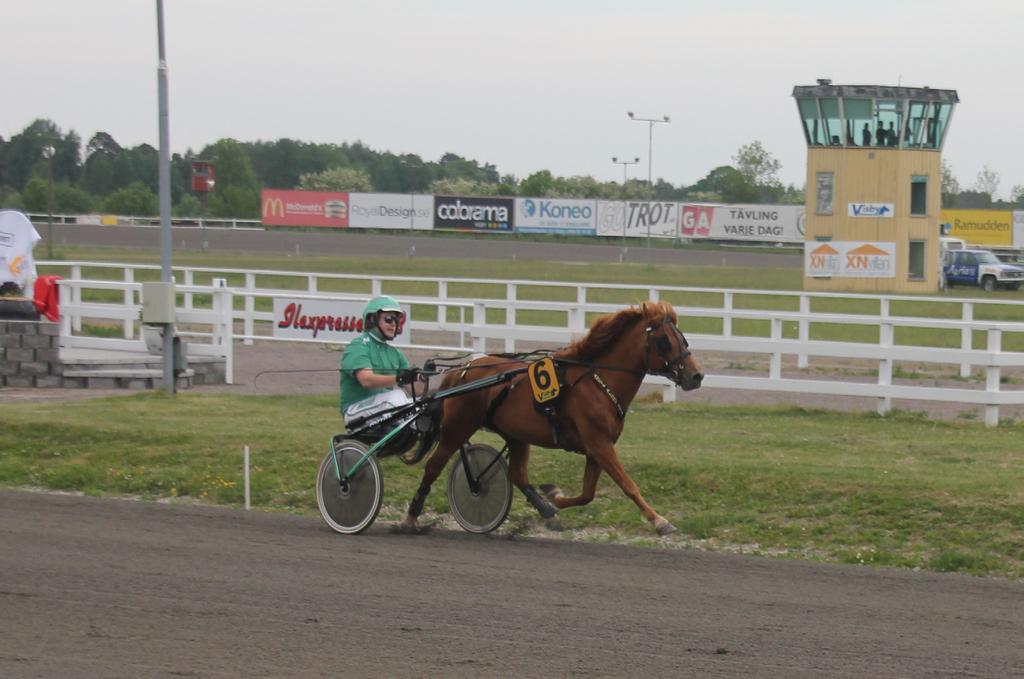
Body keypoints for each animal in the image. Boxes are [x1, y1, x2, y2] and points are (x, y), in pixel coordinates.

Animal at [401, 301, 704, 536]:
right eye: (665, 341)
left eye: (684, 338)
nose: (696, 375)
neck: (598, 381)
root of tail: (462, 370)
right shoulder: (599, 444)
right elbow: (628, 485)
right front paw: (660, 521)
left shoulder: (596, 449)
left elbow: (587, 494)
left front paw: (554, 498)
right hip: (457, 428)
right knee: (433, 467)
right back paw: (411, 517)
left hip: (516, 434)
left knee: (517, 474)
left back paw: (546, 510)